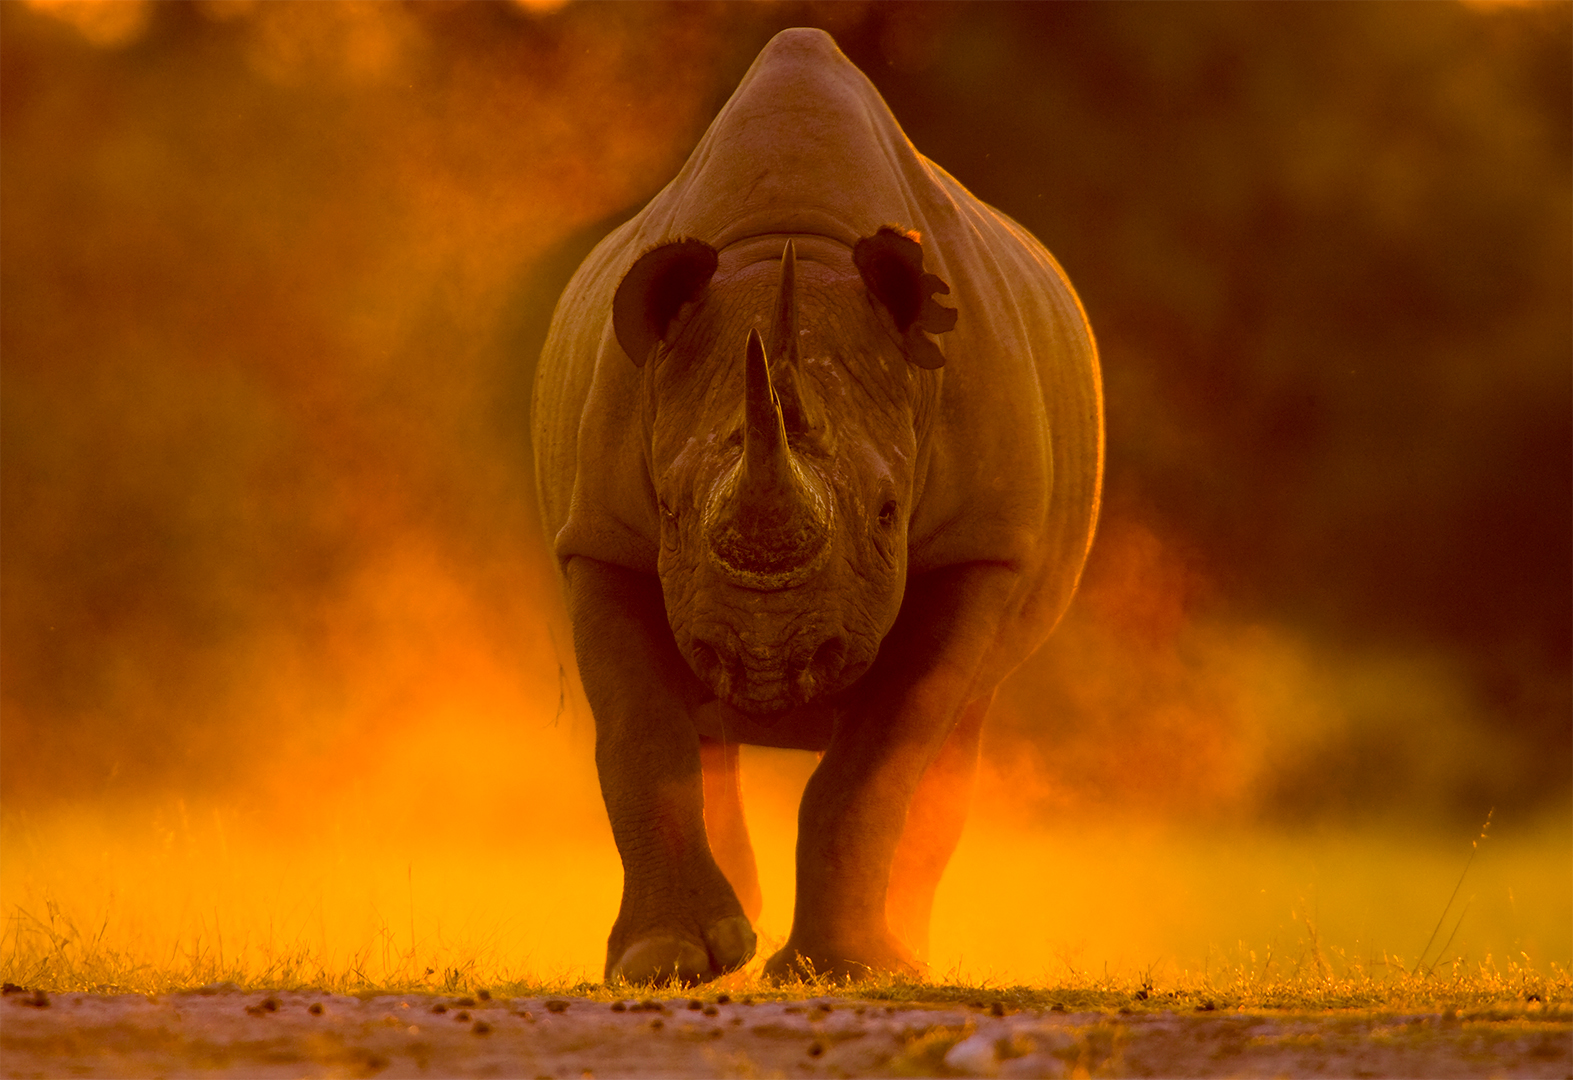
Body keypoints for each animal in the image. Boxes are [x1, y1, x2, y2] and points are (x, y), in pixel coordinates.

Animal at [532, 28, 1102, 984]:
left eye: (886, 513)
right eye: (671, 509)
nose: (766, 660)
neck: (793, 245)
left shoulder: (980, 546)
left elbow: (880, 757)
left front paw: (846, 970)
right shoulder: (600, 534)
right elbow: (641, 732)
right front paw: (662, 961)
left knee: (956, 734)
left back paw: (901, 950)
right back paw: (736, 939)